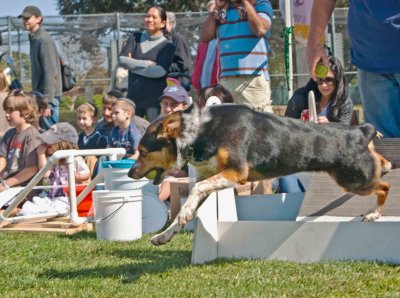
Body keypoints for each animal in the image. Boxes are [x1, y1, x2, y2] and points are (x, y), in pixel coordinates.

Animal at [130, 103, 392, 246]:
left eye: (142, 152)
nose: (131, 172)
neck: (200, 132)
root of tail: (359, 131)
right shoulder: (211, 178)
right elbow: (185, 209)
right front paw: (163, 236)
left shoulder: (236, 173)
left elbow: (193, 192)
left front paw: (182, 216)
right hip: (357, 175)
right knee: (380, 165)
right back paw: (387, 164)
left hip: (354, 181)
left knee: (384, 187)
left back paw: (374, 214)